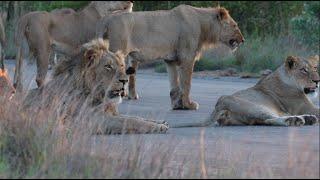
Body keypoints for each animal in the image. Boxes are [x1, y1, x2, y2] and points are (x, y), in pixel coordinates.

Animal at [20, 38, 168, 134]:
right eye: (108, 66)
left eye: (121, 65)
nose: (125, 81)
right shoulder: (92, 119)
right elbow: (129, 121)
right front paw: (159, 127)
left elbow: (135, 118)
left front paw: (160, 122)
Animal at [96, 4, 244, 110]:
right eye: (234, 25)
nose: (242, 40)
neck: (203, 25)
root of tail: (107, 21)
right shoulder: (187, 57)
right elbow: (186, 83)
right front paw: (188, 105)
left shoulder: (170, 60)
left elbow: (175, 86)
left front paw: (177, 105)